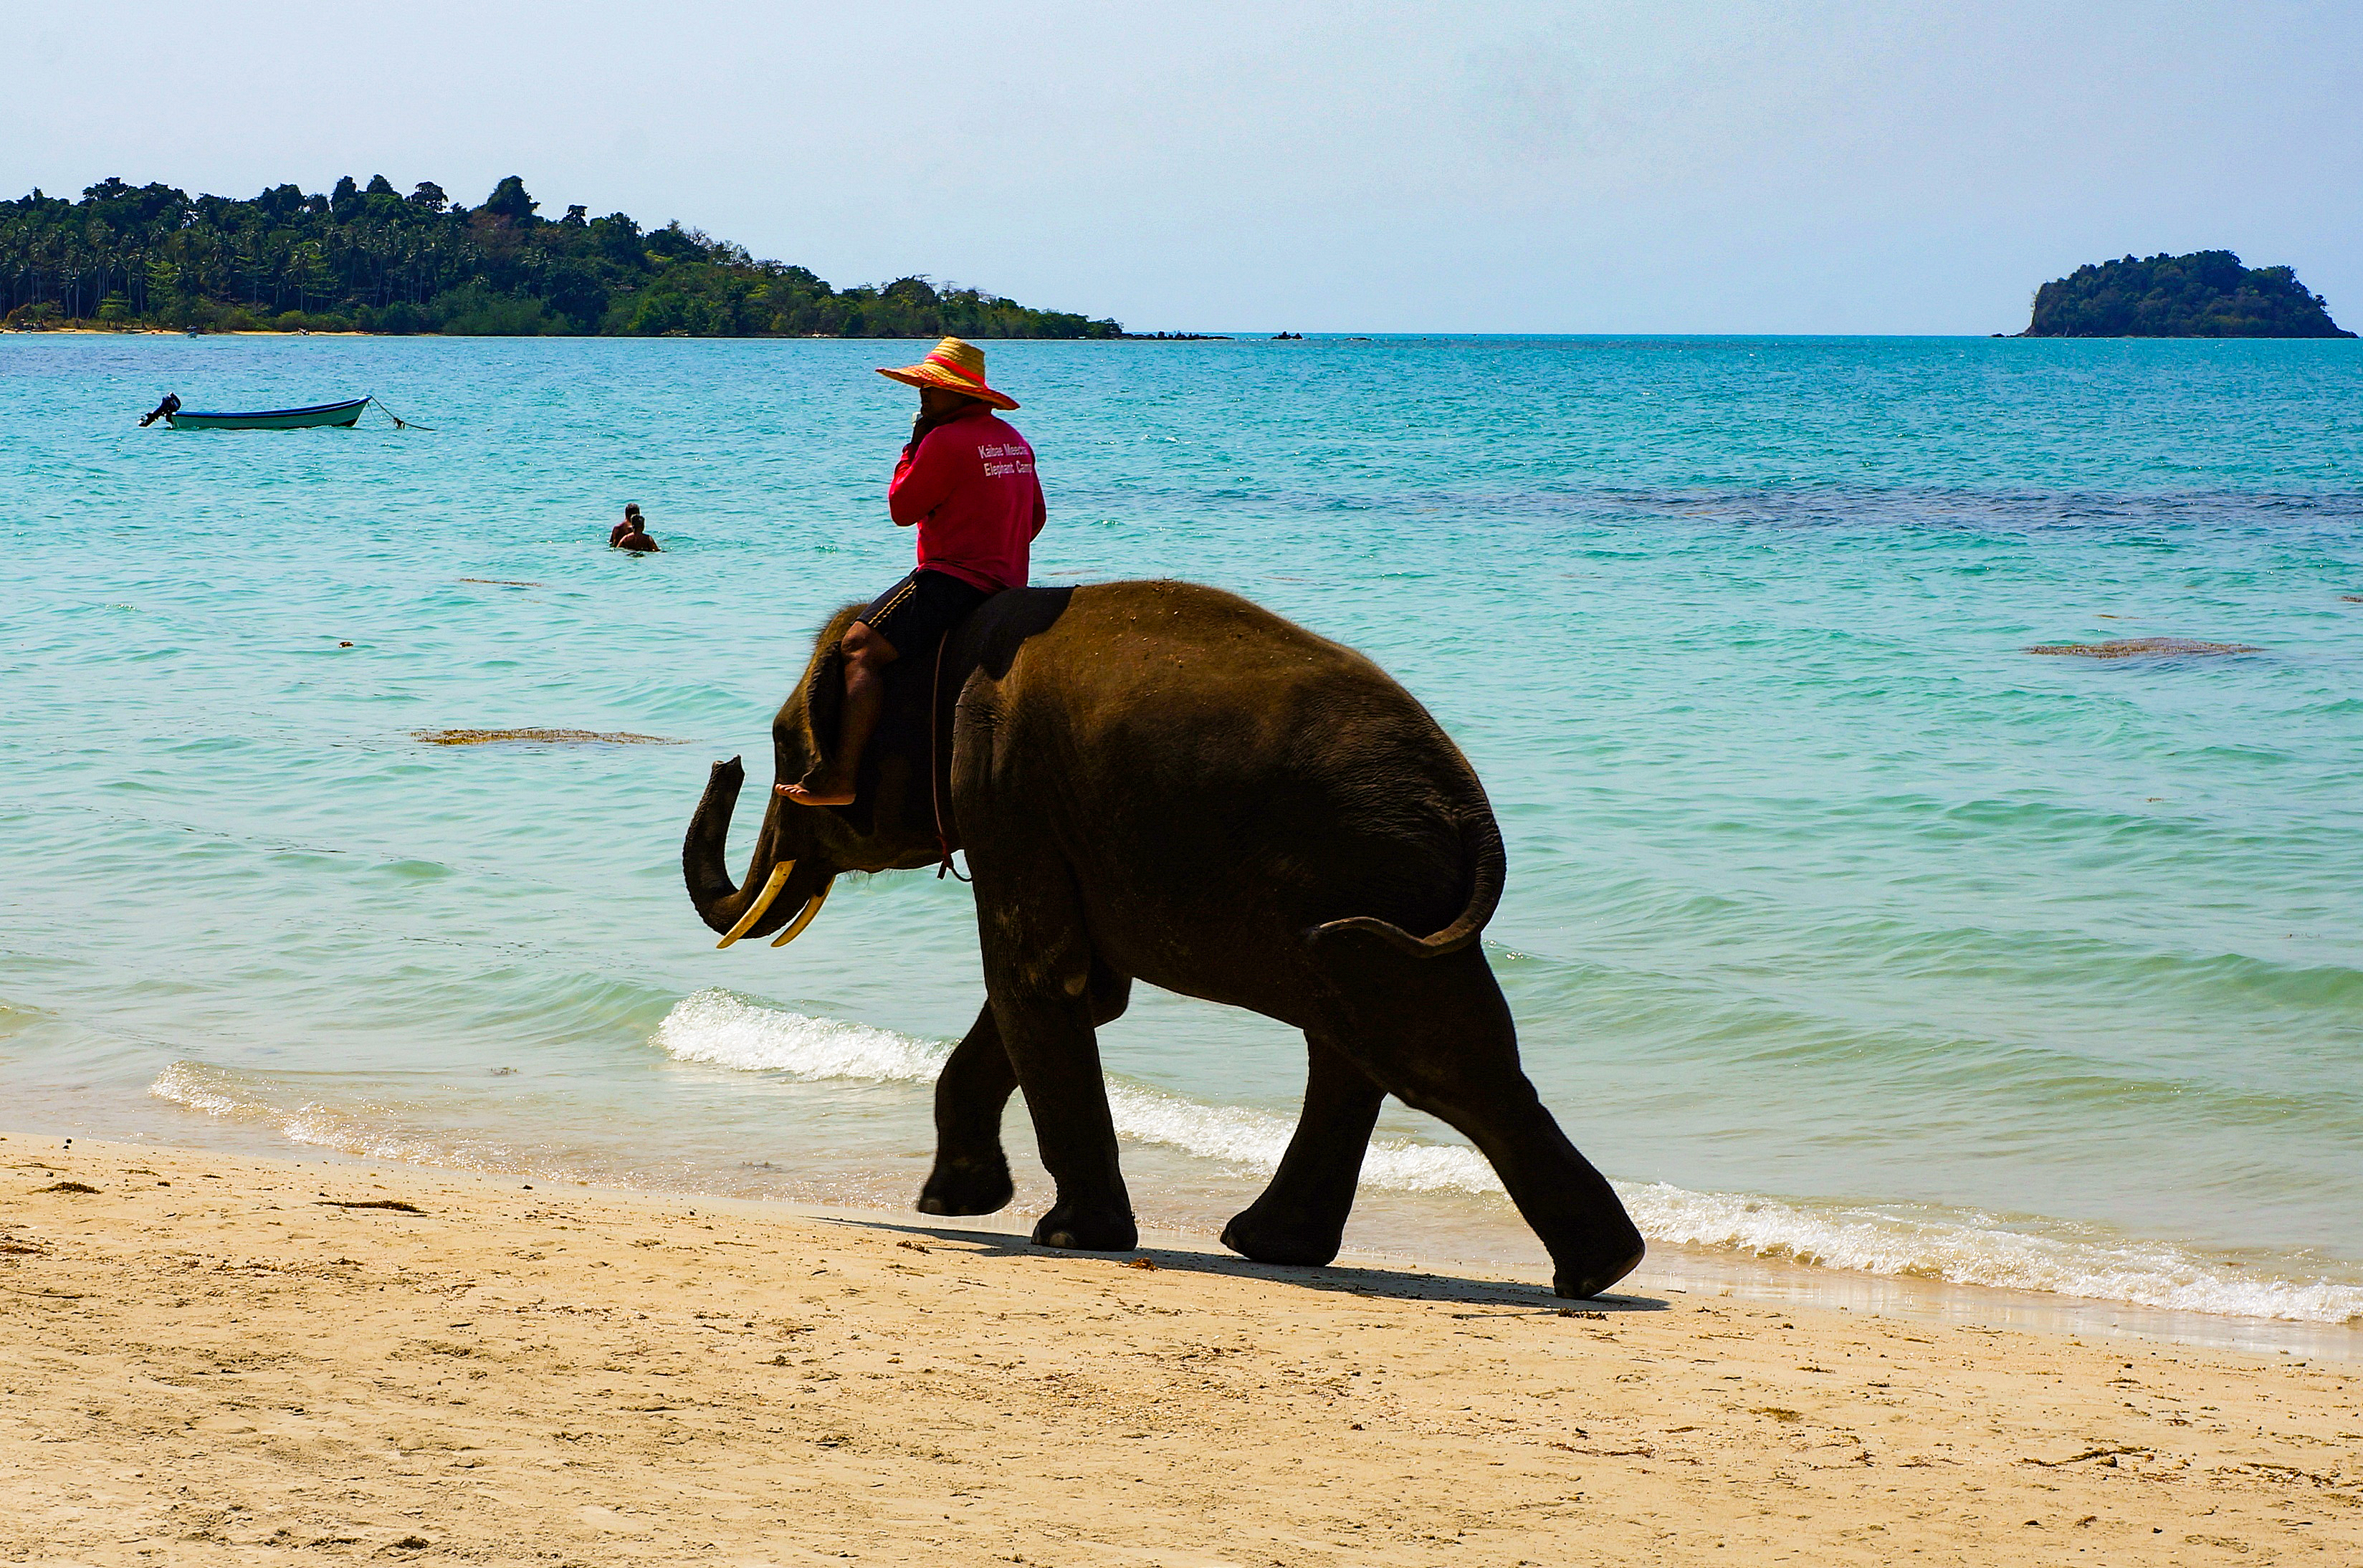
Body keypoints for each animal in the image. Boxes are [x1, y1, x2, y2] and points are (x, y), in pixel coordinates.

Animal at [682, 579, 1645, 1298]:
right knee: (1379, 1042)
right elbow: (1084, 989)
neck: (947, 638)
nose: (728, 761)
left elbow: (1041, 977)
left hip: (1368, 877)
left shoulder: (1004, 787)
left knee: (1420, 1053)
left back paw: (1591, 1271)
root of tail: (1469, 802)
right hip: (1380, 895)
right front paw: (955, 1204)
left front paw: (1063, 1235)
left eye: (785, 749)